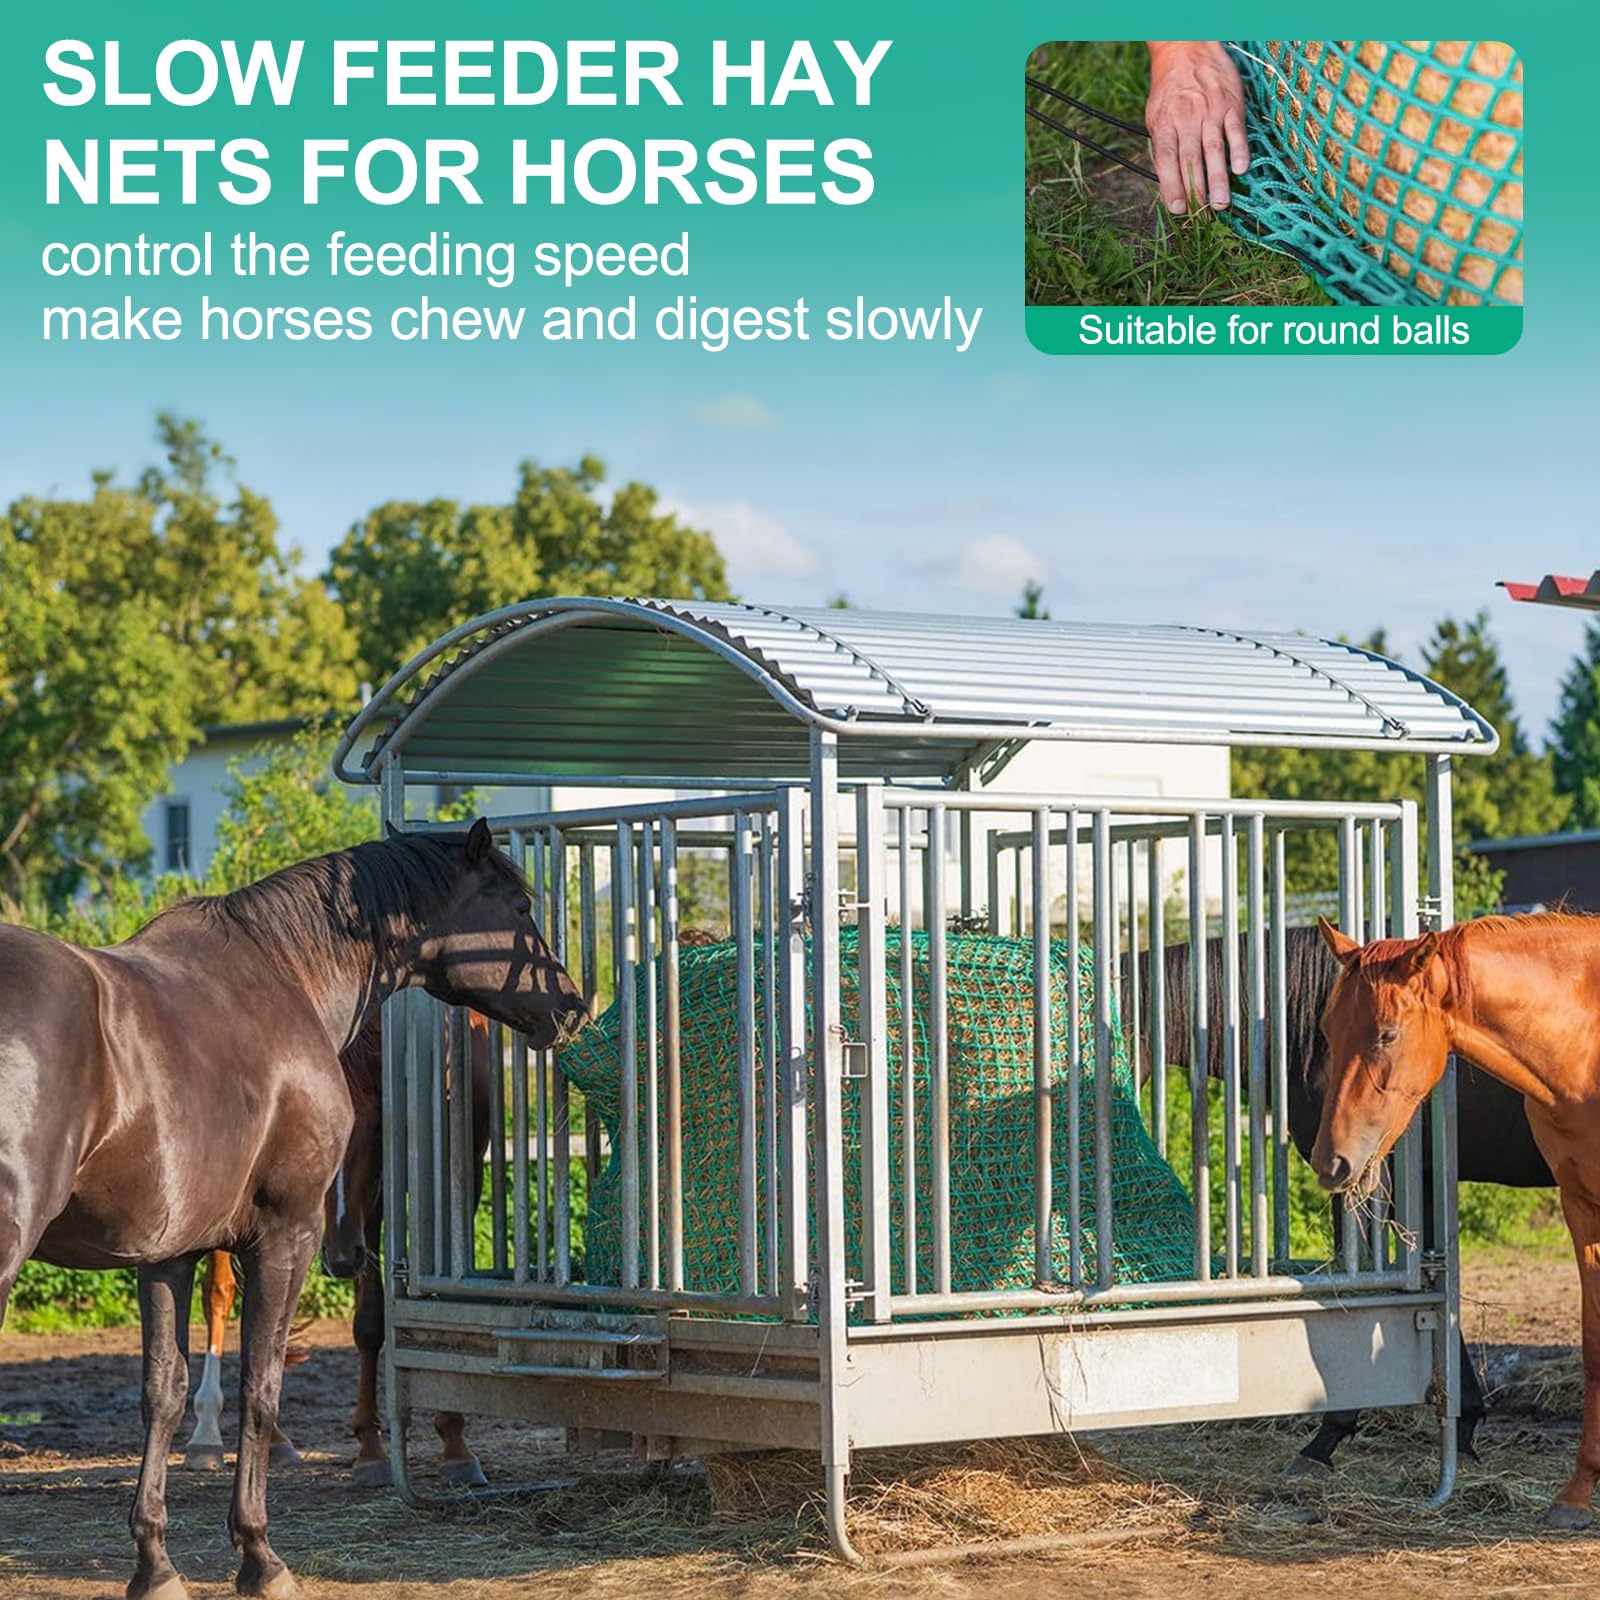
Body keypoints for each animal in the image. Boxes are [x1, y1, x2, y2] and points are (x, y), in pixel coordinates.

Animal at [0, 819, 586, 1600]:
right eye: (518, 908)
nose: (570, 1007)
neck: (283, 977)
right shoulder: (288, 1236)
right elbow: (262, 1383)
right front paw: (260, 1556)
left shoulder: (168, 1253)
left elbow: (163, 1389)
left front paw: (155, 1564)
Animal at [1309, 912, 1600, 1527]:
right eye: (1326, 1029)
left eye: (1386, 1034)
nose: (1331, 1162)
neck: (1588, 1041)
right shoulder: (1580, 1208)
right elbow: (1594, 1345)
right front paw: (1576, 1493)